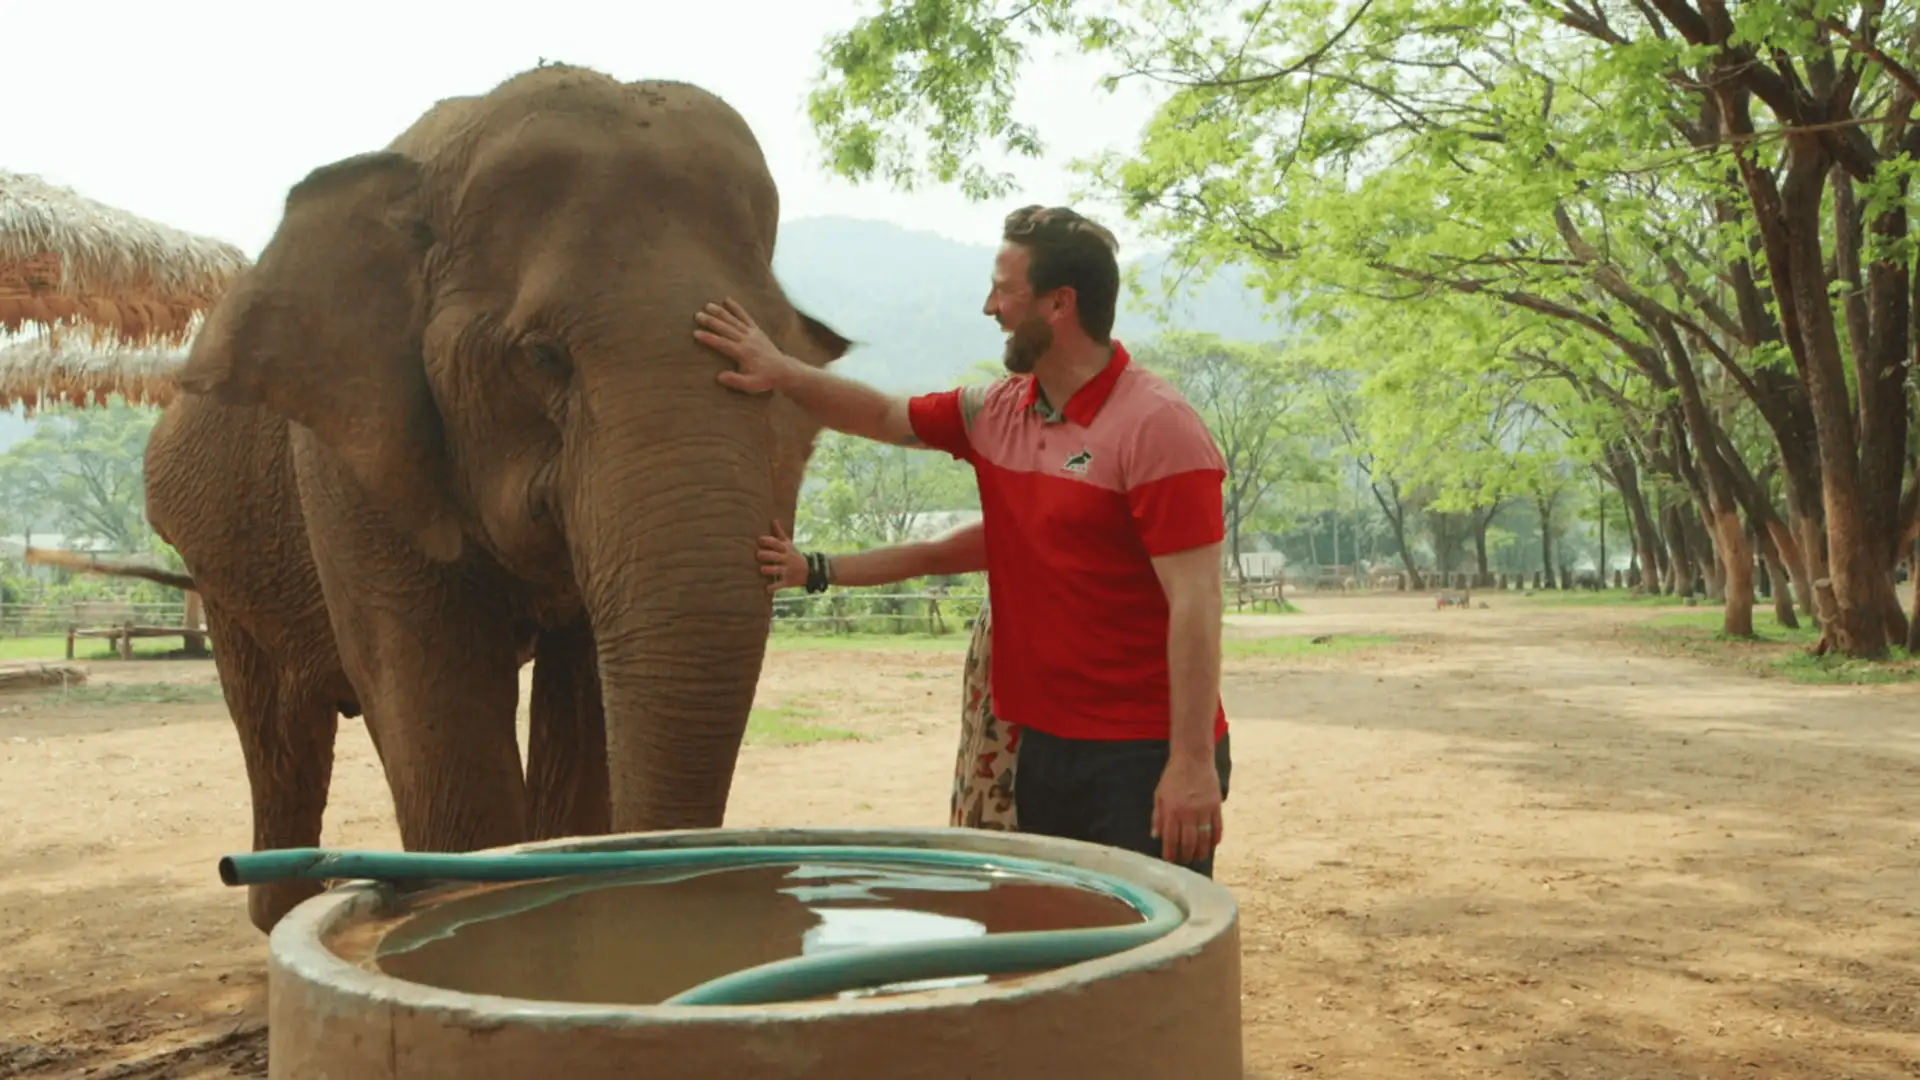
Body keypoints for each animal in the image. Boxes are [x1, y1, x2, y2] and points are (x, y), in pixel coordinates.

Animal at [142, 63, 852, 933]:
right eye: (542, 356)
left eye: (780, 359)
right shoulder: (347, 463)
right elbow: (437, 703)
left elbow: (584, 703)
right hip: (220, 567)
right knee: (280, 731)